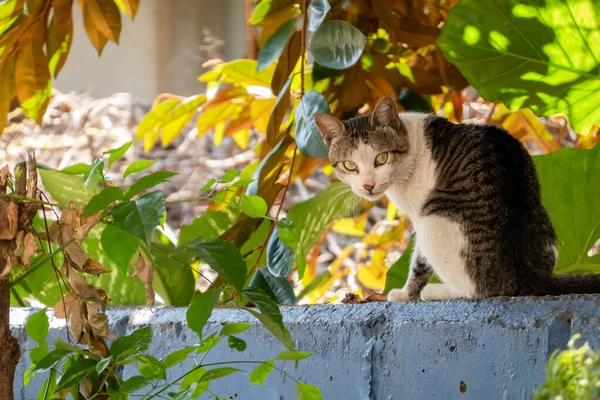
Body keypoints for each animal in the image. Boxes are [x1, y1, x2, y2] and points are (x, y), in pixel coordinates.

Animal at [314, 94, 600, 300]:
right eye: (350, 165)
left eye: (381, 158)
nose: (368, 185)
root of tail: (525, 275)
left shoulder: (418, 216)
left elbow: (419, 263)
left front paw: (405, 294)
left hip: (434, 218)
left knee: (477, 291)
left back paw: (436, 292)